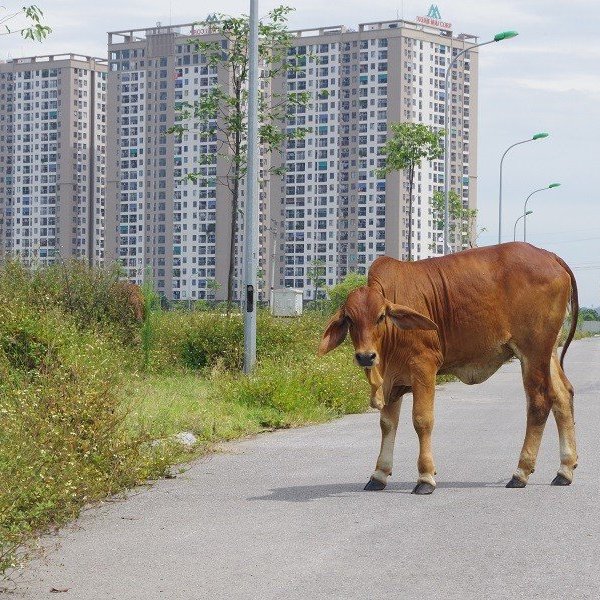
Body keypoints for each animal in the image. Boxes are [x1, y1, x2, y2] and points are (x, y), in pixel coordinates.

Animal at [318, 241, 576, 494]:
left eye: (381, 316)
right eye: (350, 319)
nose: (366, 357)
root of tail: (549, 255)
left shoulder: (424, 365)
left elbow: (422, 420)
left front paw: (425, 477)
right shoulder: (392, 378)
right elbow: (387, 424)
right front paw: (379, 474)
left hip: (532, 351)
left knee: (540, 402)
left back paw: (521, 472)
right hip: (548, 353)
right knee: (563, 396)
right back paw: (564, 470)